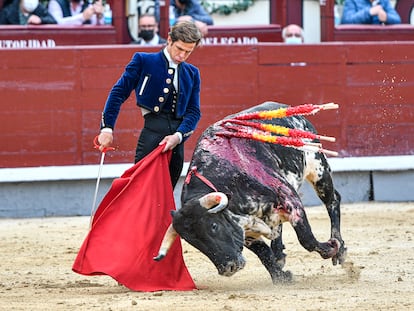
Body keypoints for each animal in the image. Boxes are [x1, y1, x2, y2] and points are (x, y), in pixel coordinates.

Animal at [155, 102, 346, 282]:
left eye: (214, 226)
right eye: (192, 242)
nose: (227, 268)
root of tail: (286, 108)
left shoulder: (288, 197)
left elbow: (306, 239)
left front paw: (331, 248)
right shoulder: (245, 232)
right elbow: (263, 252)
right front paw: (281, 277)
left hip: (318, 169)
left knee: (333, 200)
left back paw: (340, 249)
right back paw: (279, 255)